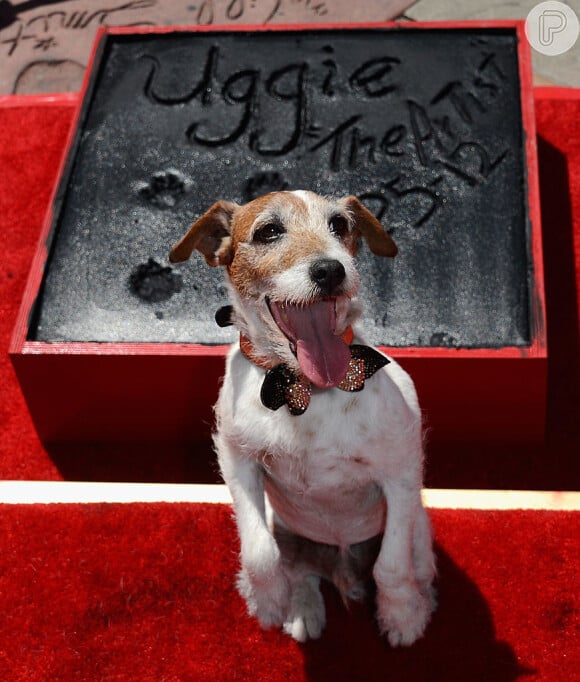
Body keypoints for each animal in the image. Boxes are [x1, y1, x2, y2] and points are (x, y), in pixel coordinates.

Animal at [170, 190, 438, 644]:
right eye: (268, 231)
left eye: (340, 226)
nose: (330, 270)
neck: (304, 389)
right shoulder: (237, 461)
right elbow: (260, 552)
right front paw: (267, 600)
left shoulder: (400, 472)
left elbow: (391, 564)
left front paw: (401, 614)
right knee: (299, 571)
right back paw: (301, 606)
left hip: (419, 526)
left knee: (414, 561)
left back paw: (420, 599)